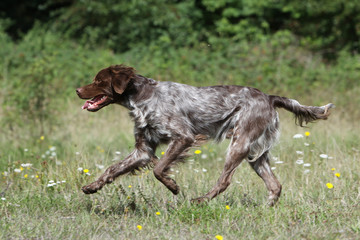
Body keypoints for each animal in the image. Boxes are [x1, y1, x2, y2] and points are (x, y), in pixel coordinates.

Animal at [76, 64, 334, 206]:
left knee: (225, 180)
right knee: (275, 185)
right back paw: (266, 208)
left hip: (239, 144)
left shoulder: (184, 137)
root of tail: (269, 97)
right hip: (255, 154)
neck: (141, 97)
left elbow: (159, 169)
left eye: (98, 80)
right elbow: (112, 169)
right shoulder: (143, 150)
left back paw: (201, 200)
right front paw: (92, 187)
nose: (77, 90)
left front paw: (173, 187)